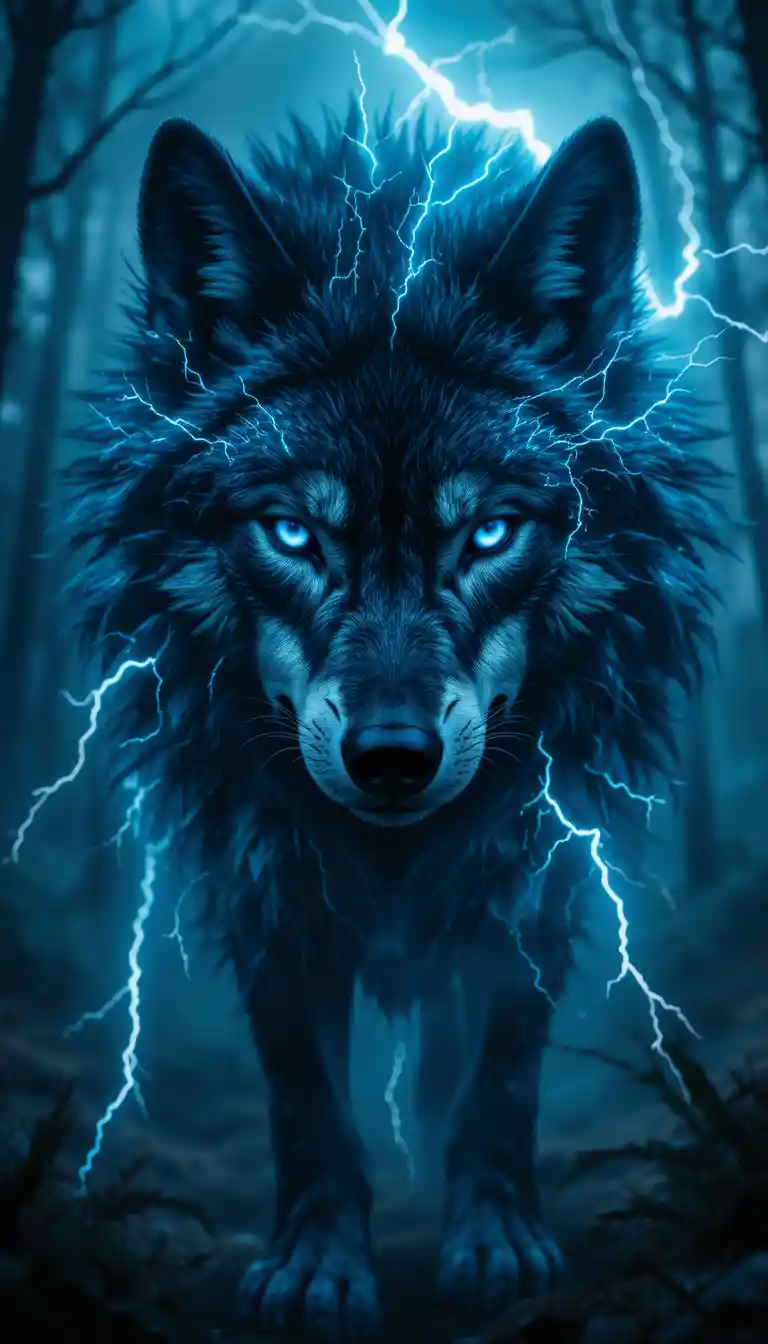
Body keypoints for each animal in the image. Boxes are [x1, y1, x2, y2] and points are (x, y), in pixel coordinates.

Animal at [67, 104, 722, 1338]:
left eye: (489, 533)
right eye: (291, 533)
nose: (390, 759)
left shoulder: (534, 871)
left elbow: (498, 1080)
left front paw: (495, 1241)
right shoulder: (264, 883)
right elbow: (307, 1102)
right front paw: (316, 1268)